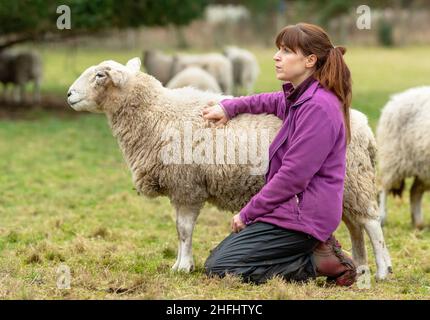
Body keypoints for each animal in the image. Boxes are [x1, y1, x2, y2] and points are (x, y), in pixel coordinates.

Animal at [67, 57, 394, 280]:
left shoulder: (187, 186)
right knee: (355, 226)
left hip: (355, 180)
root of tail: (365, 127)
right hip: (348, 189)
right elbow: (179, 230)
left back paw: (382, 269)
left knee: (371, 224)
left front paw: (183, 266)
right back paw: (360, 267)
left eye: (100, 75)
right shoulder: (180, 188)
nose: (69, 94)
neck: (157, 113)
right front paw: (180, 263)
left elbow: (184, 230)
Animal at [376, 86, 430, 229]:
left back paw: (419, 224)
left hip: (423, 169)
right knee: (383, 187)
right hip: (392, 159)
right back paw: (381, 218)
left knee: (415, 192)